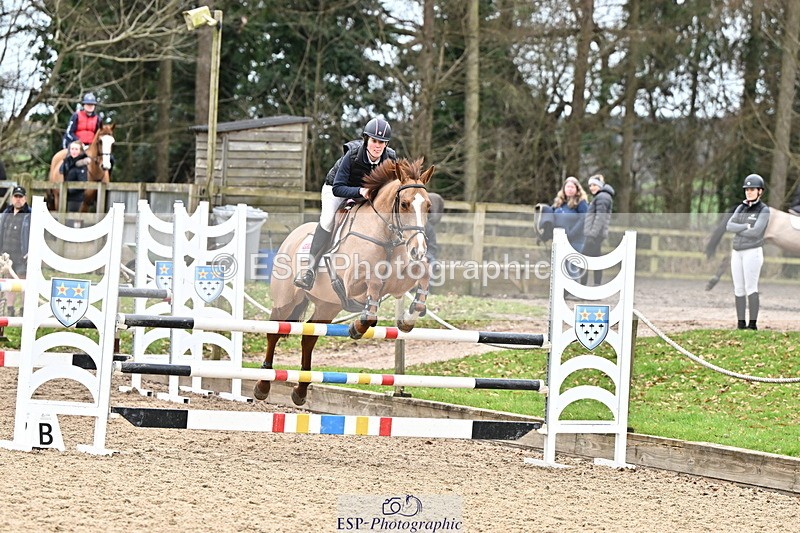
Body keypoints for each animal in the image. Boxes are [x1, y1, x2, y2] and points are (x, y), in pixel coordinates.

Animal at [253, 158, 435, 406]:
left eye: (428, 206)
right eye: (405, 204)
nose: (419, 250)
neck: (385, 236)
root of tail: (292, 236)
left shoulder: (398, 282)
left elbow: (422, 276)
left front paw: (408, 319)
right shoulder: (352, 284)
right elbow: (374, 283)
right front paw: (358, 326)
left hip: (327, 305)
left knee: (309, 337)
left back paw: (301, 391)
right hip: (285, 301)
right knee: (274, 332)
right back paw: (263, 385)